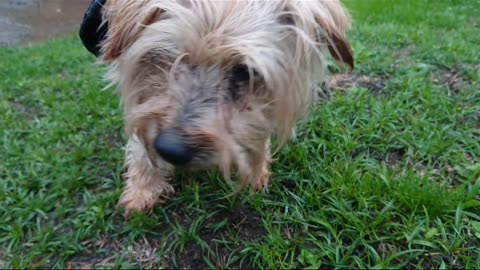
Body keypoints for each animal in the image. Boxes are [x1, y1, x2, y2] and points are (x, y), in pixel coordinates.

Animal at [96, 0, 352, 215]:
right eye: (167, 57)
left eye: (245, 73)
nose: (170, 149)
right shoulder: (144, 103)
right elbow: (140, 141)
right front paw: (142, 191)